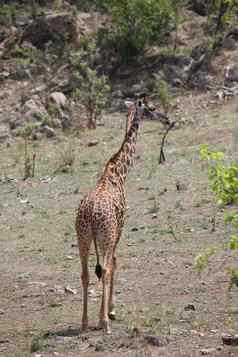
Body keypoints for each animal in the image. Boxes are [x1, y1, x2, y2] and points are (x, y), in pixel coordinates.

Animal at [75, 96, 158, 332]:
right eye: (152, 108)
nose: (167, 119)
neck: (119, 172)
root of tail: (91, 214)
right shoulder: (119, 229)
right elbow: (115, 261)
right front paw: (111, 311)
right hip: (106, 236)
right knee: (105, 269)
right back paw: (103, 321)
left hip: (83, 237)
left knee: (86, 273)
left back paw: (84, 322)